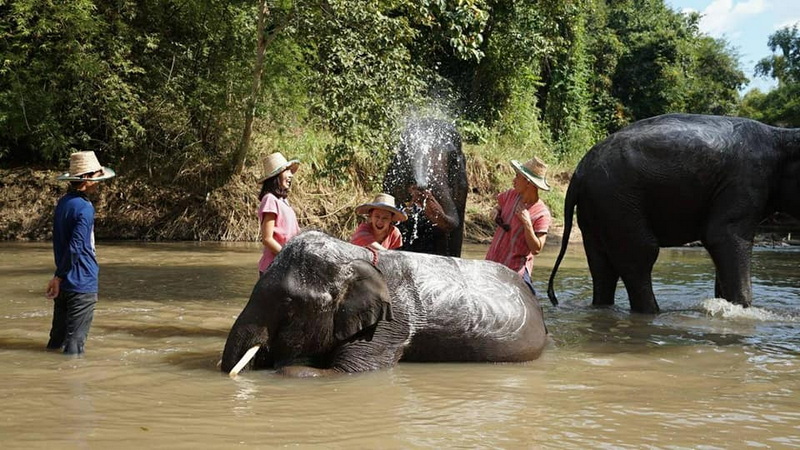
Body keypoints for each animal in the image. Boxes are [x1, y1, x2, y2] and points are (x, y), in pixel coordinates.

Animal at [547, 113, 800, 314]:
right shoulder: (745, 182)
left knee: (602, 266)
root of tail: (578, 173)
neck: (781, 136)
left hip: (597, 210)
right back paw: (654, 314)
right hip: (617, 200)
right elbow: (723, 236)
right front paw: (742, 310)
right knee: (641, 255)